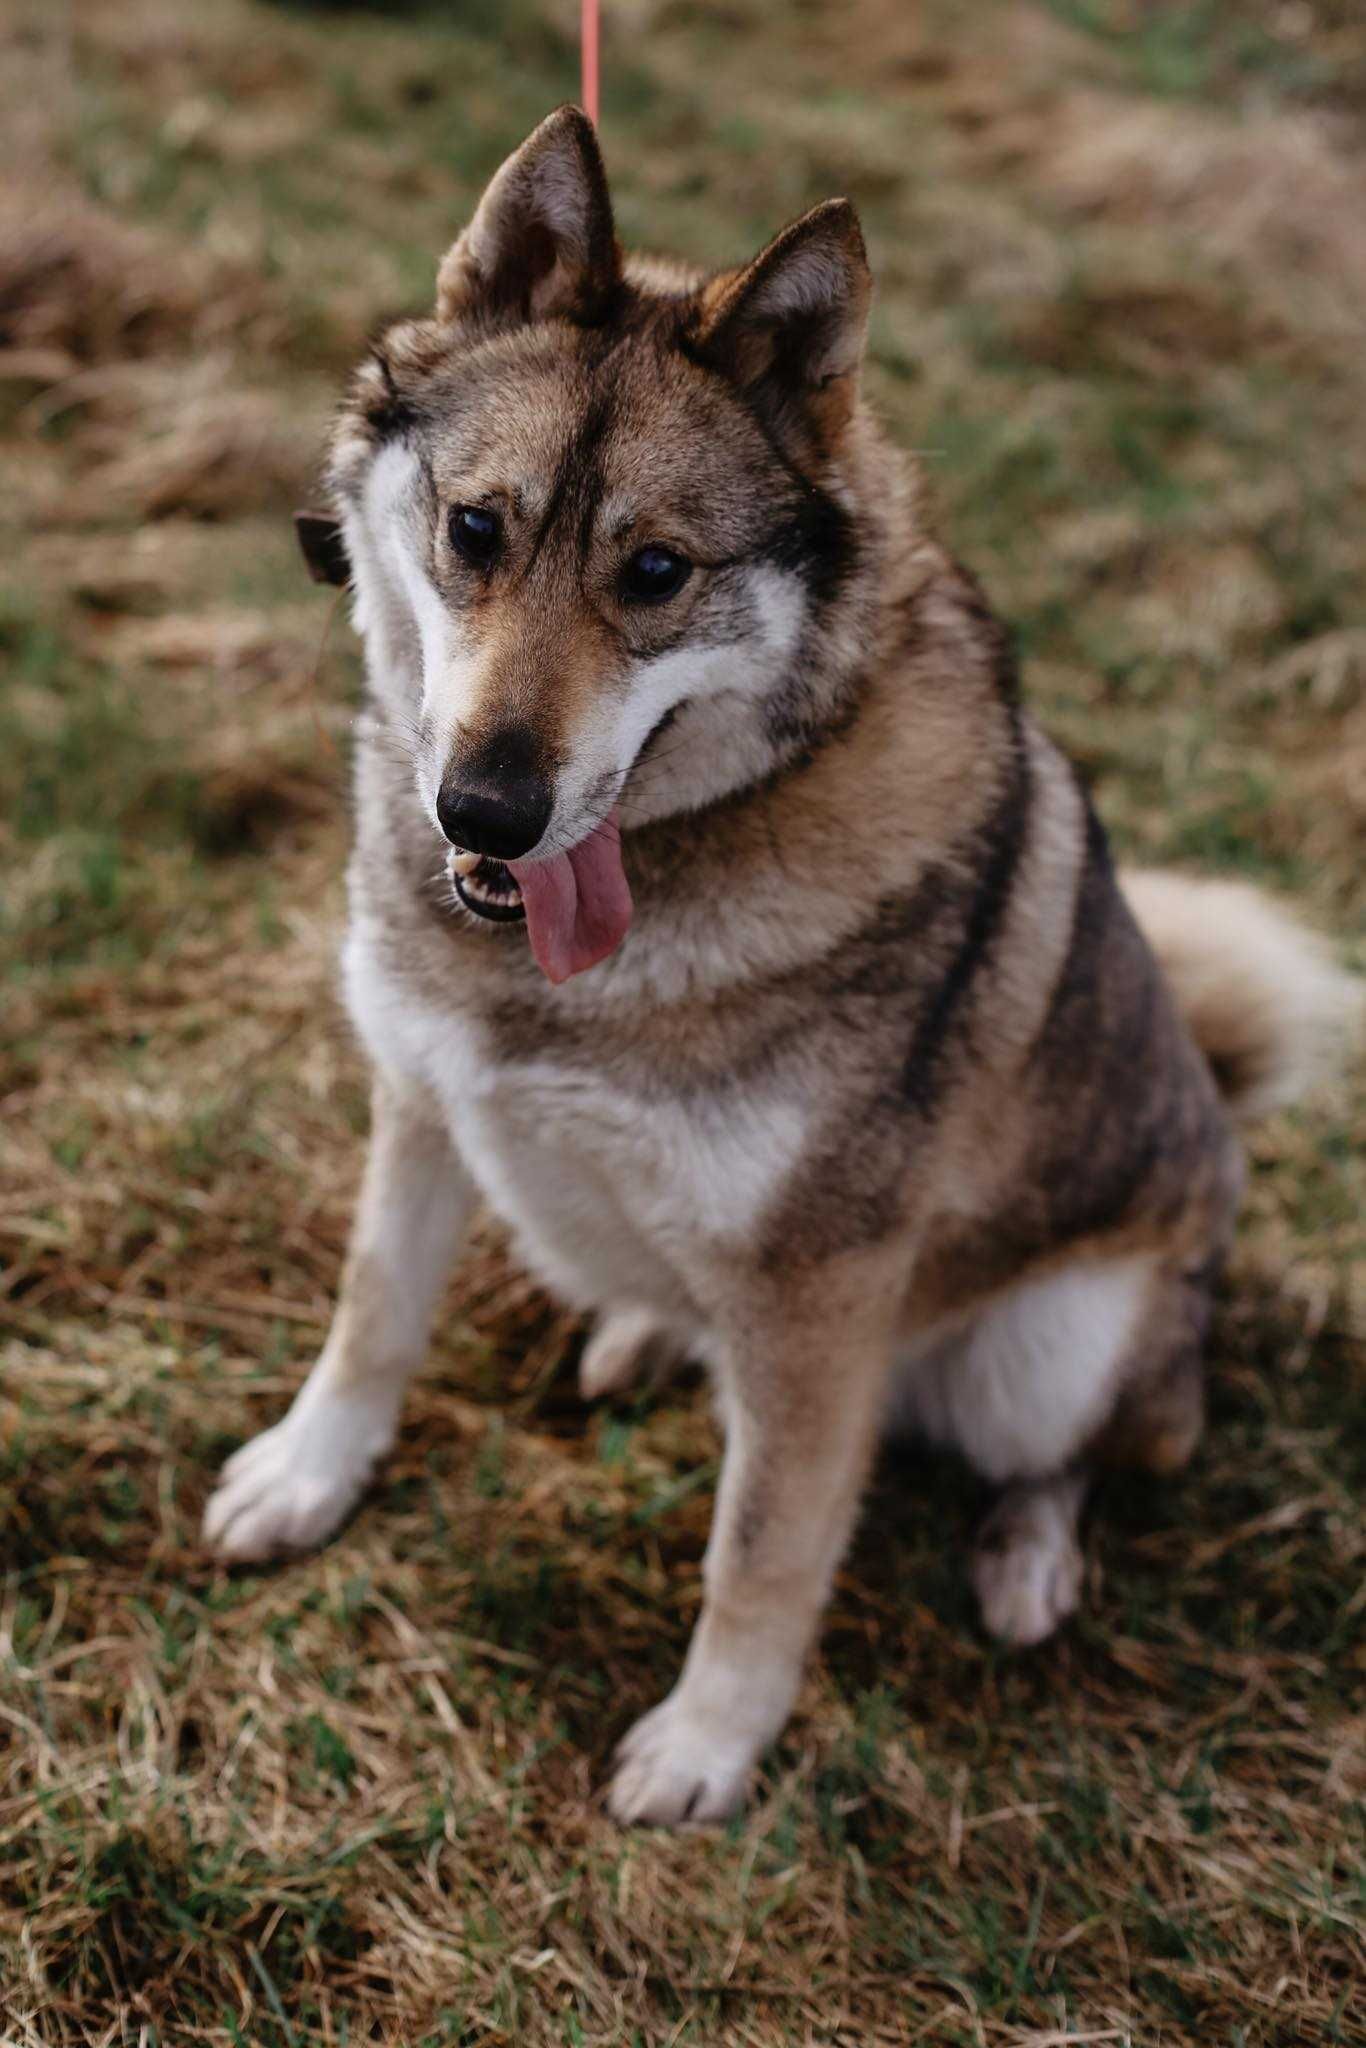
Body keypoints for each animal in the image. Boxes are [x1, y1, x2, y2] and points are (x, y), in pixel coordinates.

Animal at [200, 103, 1359, 1826]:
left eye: (656, 574)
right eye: (474, 529)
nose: (485, 809)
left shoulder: (820, 1307)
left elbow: (762, 1545)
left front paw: (706, 1748)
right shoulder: (420, 1104)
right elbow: (371, 1316)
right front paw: (304, 1477)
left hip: (1057, 1346)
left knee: (1063, 1456)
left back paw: (1024, 1563)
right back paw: (641, 1330)